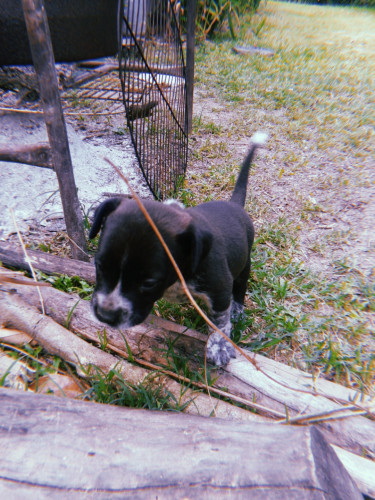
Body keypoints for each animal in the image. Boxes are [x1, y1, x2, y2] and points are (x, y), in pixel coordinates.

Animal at [90, 132, 268, 368]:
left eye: (149, 283)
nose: (106, 316)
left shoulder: (220, 287)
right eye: (99, 266)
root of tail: (235, 204)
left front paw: (219, 346)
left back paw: (237, 309)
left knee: (240, 288)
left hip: (244, 264)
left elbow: (220, 320)